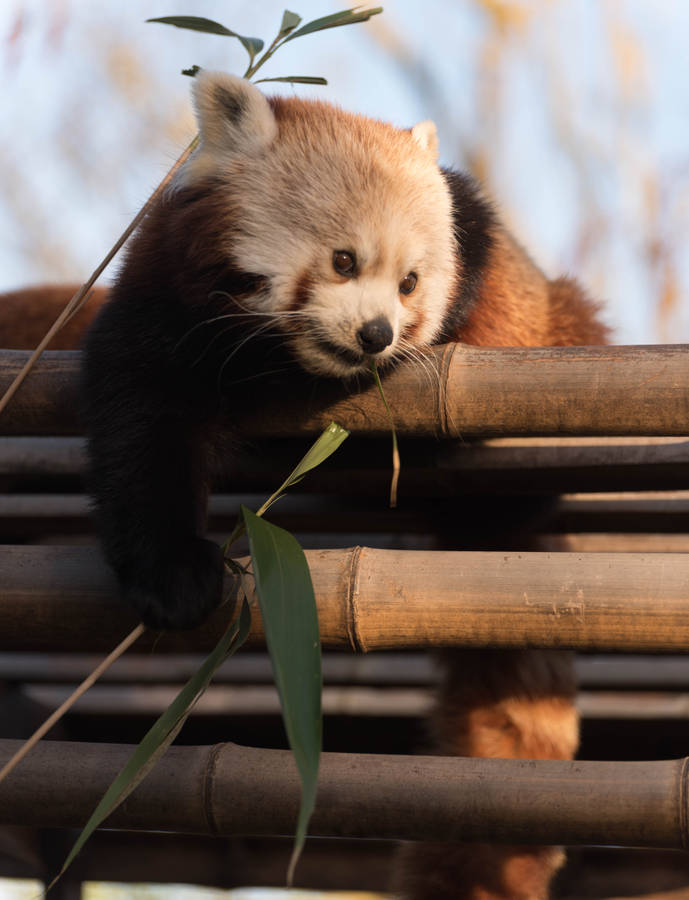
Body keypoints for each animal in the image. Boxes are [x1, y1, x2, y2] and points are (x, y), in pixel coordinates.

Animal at [77, 71, 607, 899]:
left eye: (411, 282)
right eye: (342, 260)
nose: (375, 335)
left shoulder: (475, 246)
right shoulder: (159, 299)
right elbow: (139, 430)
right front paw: (172, 577)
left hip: (560, 324)